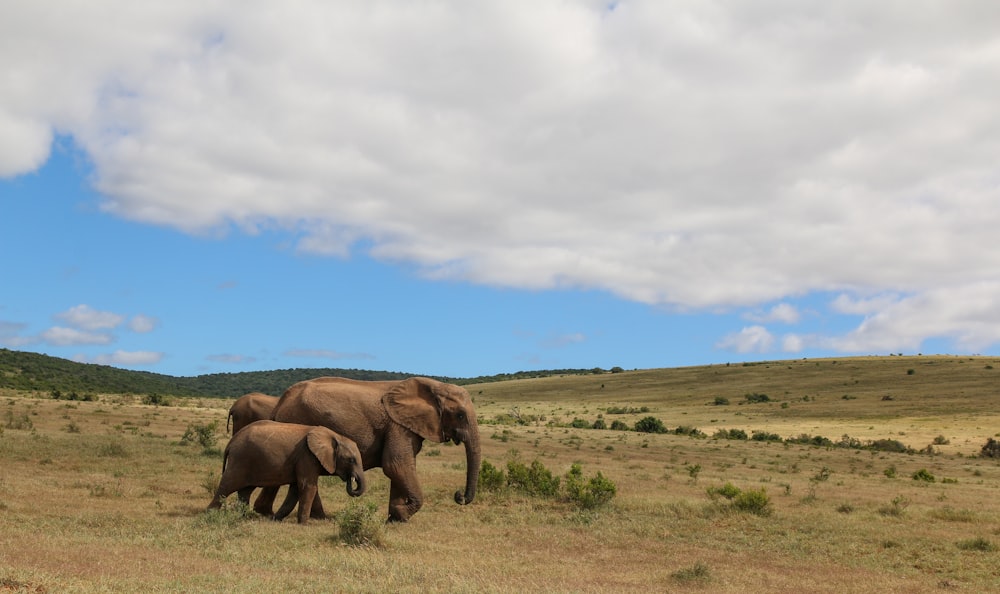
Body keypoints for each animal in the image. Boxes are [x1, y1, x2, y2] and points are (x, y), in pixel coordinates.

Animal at [207, 416, 368, 524]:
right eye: (351, 460)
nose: (351, 478)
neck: (334, 436)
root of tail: (231, 441)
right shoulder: (307, 456)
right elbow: (308, 486)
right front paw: (304, 524)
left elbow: (295, 490)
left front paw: (274, 520)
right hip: (240, 460)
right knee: (227, 486)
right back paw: (210, 514)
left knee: (245, 491)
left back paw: (244, 516)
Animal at [260, 376, 482, 520]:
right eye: (460, 415)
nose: (459, 496)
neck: (435, 386)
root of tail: (281, 401)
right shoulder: (398, 425)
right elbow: (396, 465)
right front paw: (401, 514)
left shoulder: (402, 425)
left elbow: (400, 468)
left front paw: (394, 519)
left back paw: (267, 513)